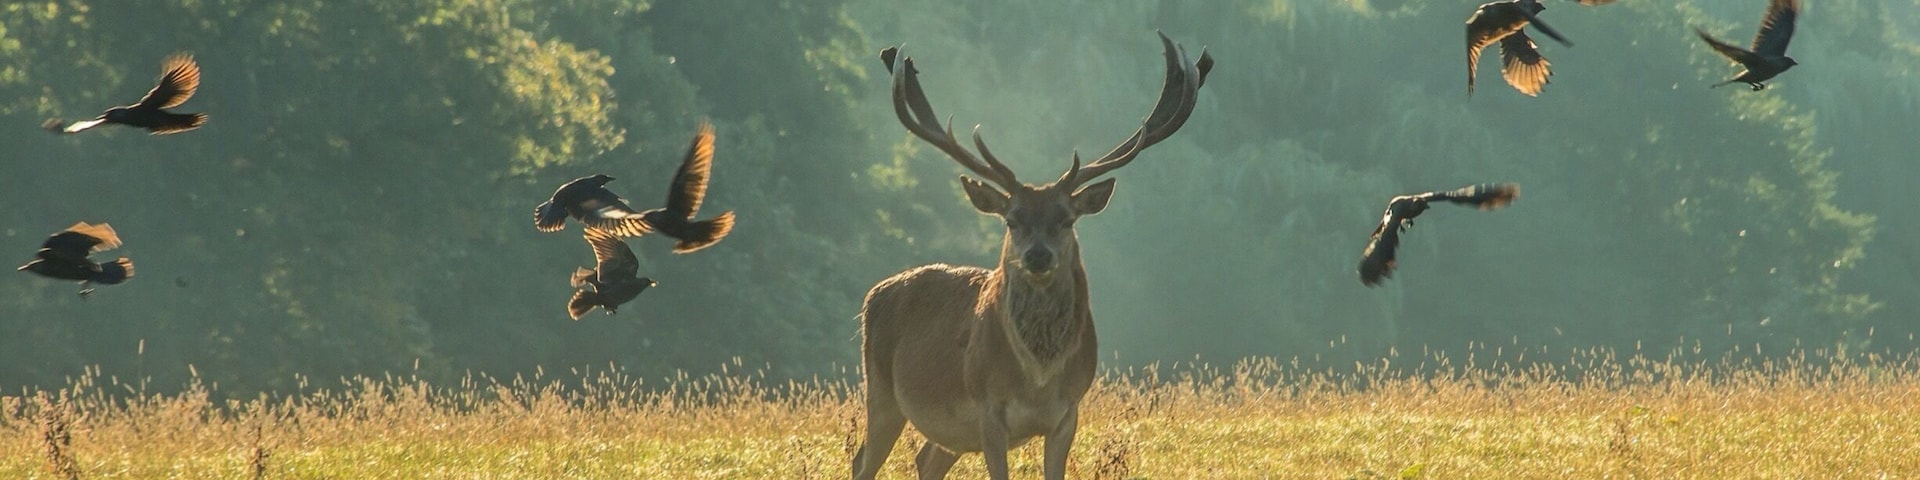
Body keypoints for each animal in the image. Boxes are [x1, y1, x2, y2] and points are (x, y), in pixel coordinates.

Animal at [852, 32, 1211, 480]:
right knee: (862, 460)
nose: (1037, 256)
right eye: (1012, 220)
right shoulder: (988, 409)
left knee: (926, 457)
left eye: (1066, 219)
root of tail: (873, 295)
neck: (1038, 380)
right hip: (881, 388)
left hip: (945, 429)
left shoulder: (1069, 411)